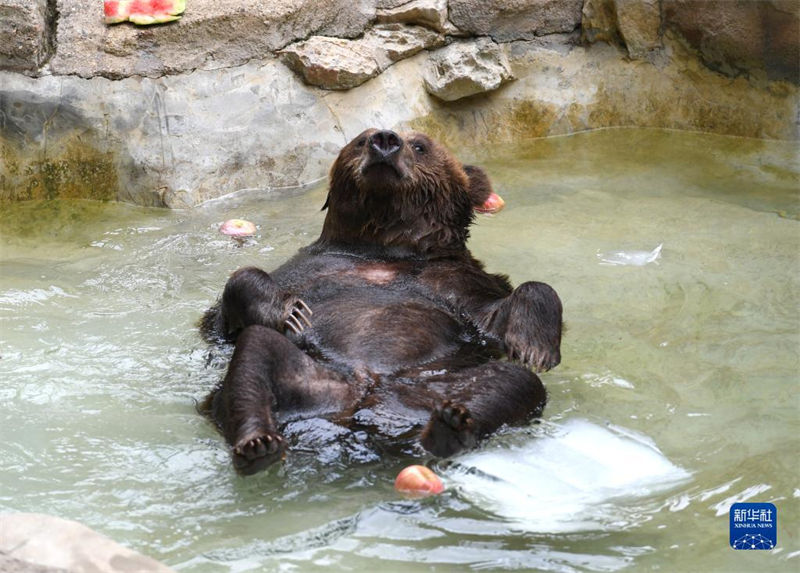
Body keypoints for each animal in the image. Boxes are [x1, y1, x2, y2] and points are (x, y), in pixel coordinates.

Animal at [200, 130, 564, 474]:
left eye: (420, 145)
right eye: (361, 139)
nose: (385, 139)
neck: (384, 250)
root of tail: (363, 394)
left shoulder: (459, 286)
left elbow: (505, 313)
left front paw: (534, 347)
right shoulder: (312, 270)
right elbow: (230, 307)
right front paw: (290, 312)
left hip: (437, 386)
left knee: (512, 383)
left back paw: (447, 429)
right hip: (311, 377)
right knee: (254, 359)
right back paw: (258, 442)